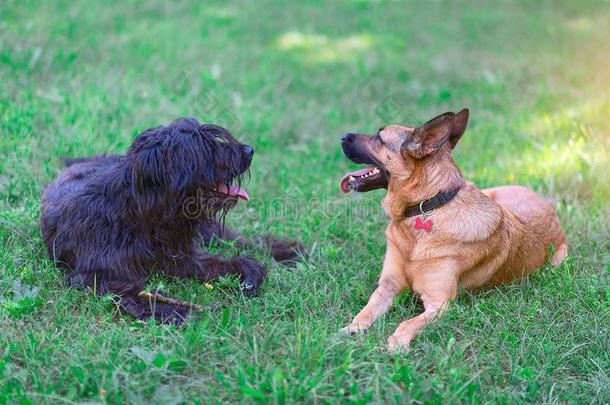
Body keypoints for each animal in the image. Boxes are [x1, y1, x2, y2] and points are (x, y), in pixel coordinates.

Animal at [40, 117, 302, 322]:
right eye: (206, 147)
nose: (249, 150)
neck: (143, 219)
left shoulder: (183, 256)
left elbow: (228, 262)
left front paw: (248, 272)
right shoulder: (93, 275)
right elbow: (133, 294)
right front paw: (176, 312)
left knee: (244, 240)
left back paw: (290, 251)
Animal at [338, 108, 564, 350]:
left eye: (379, 138)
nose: (342, 135)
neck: (427, 205)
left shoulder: (439, 304)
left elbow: (407, 322)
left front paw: (397, 342)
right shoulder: (387, 287)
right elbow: (367, 309)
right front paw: (352, 328)